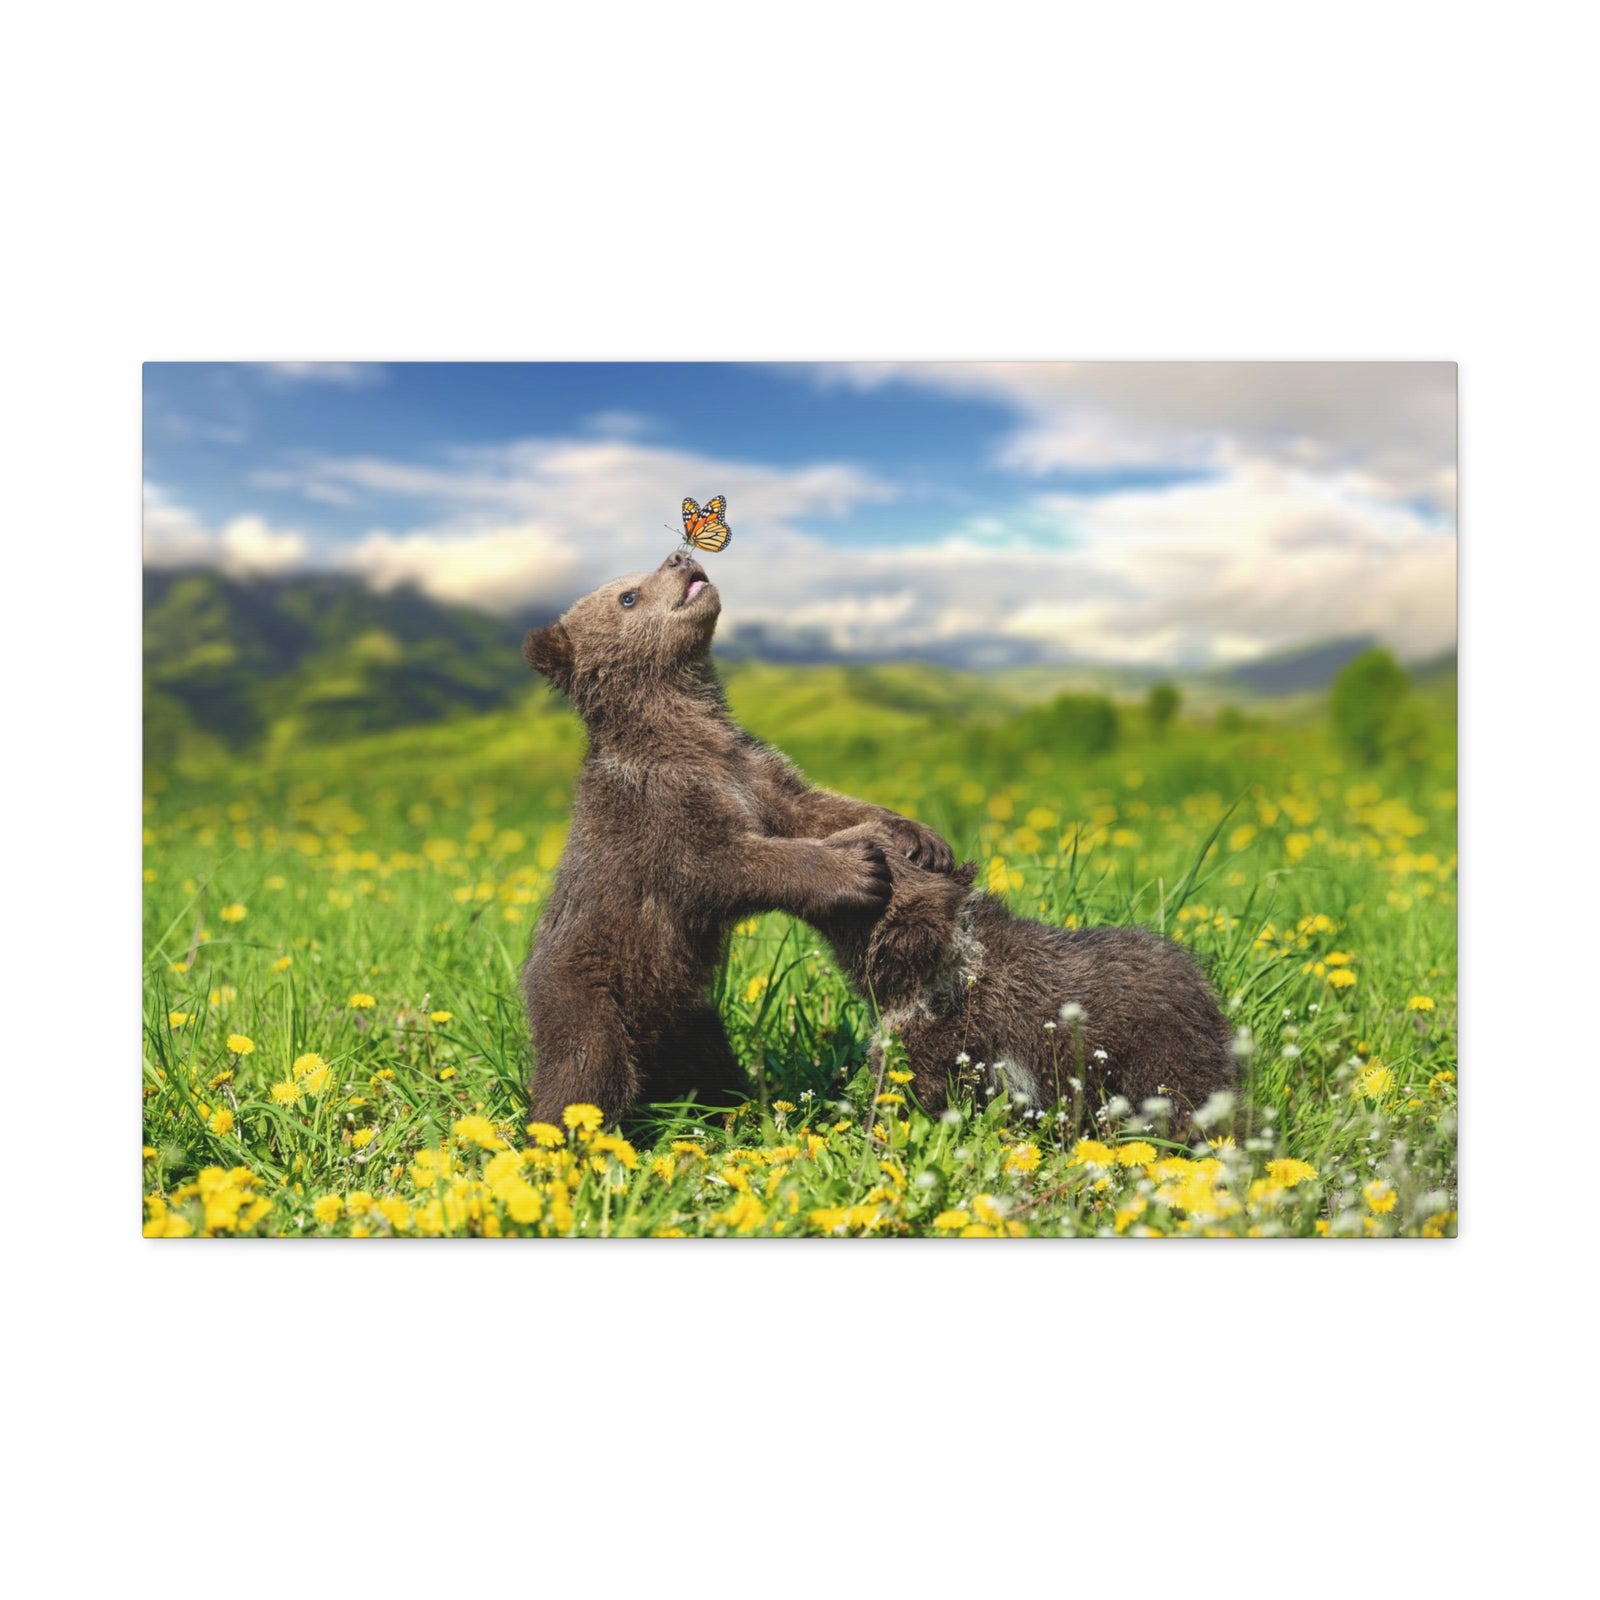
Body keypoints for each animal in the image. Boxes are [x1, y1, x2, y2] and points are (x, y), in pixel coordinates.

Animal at [519, 548, 954, 1128]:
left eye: (637, 577)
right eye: (627, 596)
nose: (679, 557)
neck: (688, 735)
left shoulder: (754, 773)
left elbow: (815, 808)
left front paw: (918, 835)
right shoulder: (659, 811)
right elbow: (719, 865)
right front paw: (856, 871)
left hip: (689, 1014)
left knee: (709, 1064)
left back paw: (734, 1108)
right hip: (588, 989)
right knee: (583, 1072)